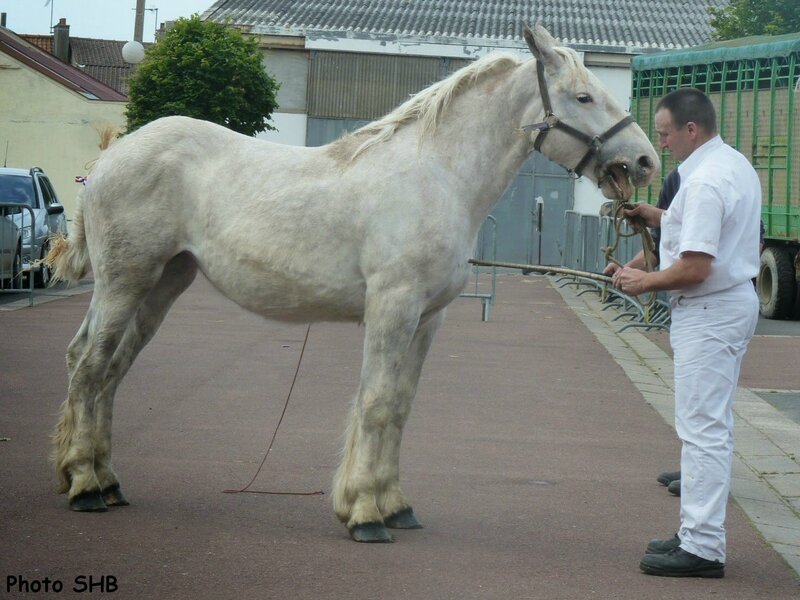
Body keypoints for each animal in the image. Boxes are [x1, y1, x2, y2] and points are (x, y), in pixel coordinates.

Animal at [50, 23, 656, 540]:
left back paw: (106, 480)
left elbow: (401, 406)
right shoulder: (393, 308)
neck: (438, 176)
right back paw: (83, 485)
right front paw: (365, 513)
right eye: (583, 97)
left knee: (107, 368)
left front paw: (396, 505)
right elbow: (377, 403)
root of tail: (109, 159)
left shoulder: (428, 319)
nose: (646, 160)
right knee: (89, 365)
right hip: (124, 283)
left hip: (162, 284)